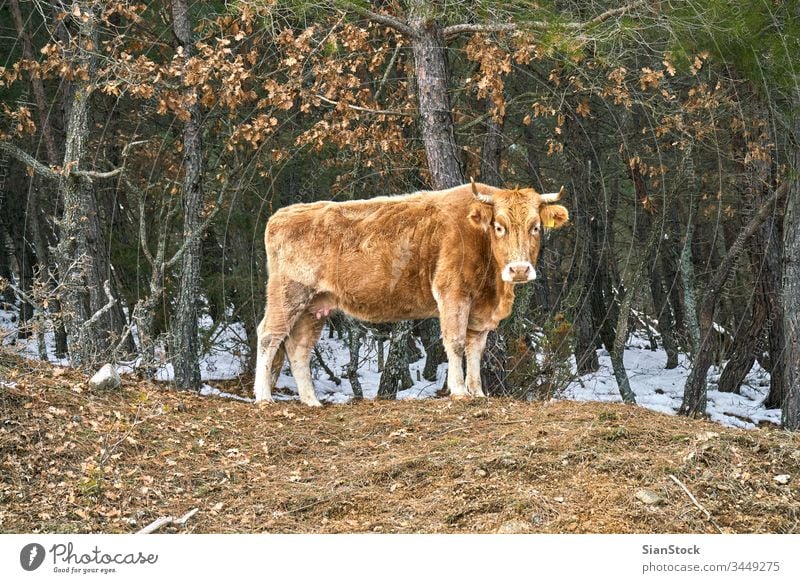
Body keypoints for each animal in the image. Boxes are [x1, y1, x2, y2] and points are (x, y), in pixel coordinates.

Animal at [253, 181, 564, 406]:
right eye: (499, 227)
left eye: (536, 227)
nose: (519, 269)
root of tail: (283, 214)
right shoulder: (453, 295)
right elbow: (455, 343)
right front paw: (459, 391)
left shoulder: (479, 311)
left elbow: (475, 348)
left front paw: (477, 392)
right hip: (288, 295)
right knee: (269, 336)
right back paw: (263, 397)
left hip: (314, 307)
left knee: (299, 349)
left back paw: (311, 401)